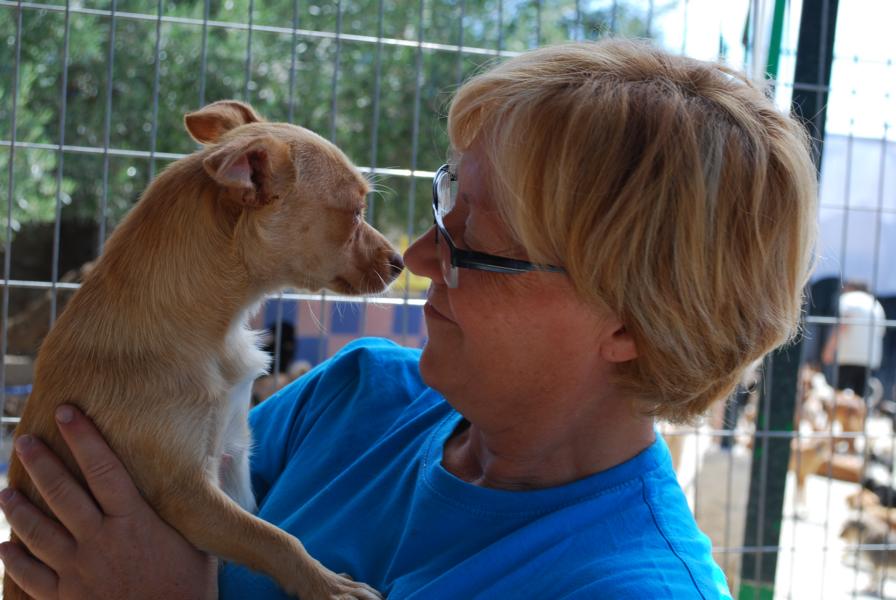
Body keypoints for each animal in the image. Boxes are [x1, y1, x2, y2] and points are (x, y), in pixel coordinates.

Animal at [4, 100, 402, 599]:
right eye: (354, 213)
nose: (401, 262)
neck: (221, 336)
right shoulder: (188, 493)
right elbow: (272, 537)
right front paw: (328, 585)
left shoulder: (233, 460)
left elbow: (263, 519)